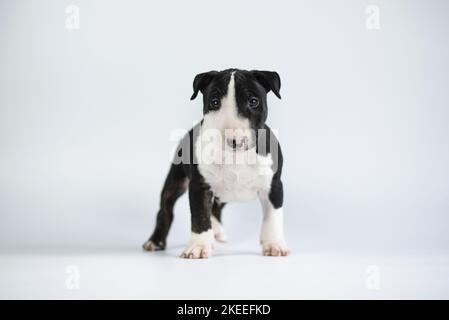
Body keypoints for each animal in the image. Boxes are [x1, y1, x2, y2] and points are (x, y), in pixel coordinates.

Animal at [144, 68, 290, 258]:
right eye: (214, 102)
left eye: (253, 101)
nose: (235, 140)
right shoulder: (200, 186)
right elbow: (200, 216)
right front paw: (199, 246)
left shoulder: (274, 185)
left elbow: (273, 217)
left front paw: (274, 244)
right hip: (176, 181)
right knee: (166, 208)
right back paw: (155, 241)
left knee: (215, 208)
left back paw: (217, 231)